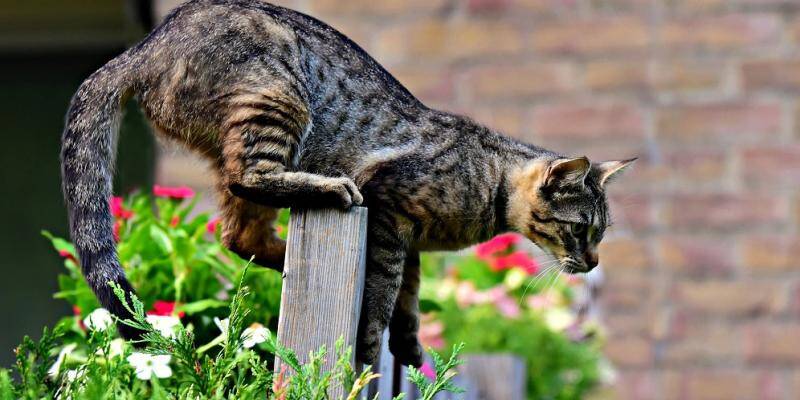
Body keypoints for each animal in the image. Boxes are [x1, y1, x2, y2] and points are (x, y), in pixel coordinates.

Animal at [61, 0, 636, 368]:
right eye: (581, 230)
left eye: (600, 234)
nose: (593, 263)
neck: (489, 183)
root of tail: (142, 47)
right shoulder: (390, 214)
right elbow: (383, 297)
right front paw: (369, 349)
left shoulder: (410, 242)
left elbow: (409, 298)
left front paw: (409, 347)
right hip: (277, 99)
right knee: (252, 180)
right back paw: (330, 190)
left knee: (238, 234)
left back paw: (285, 258)